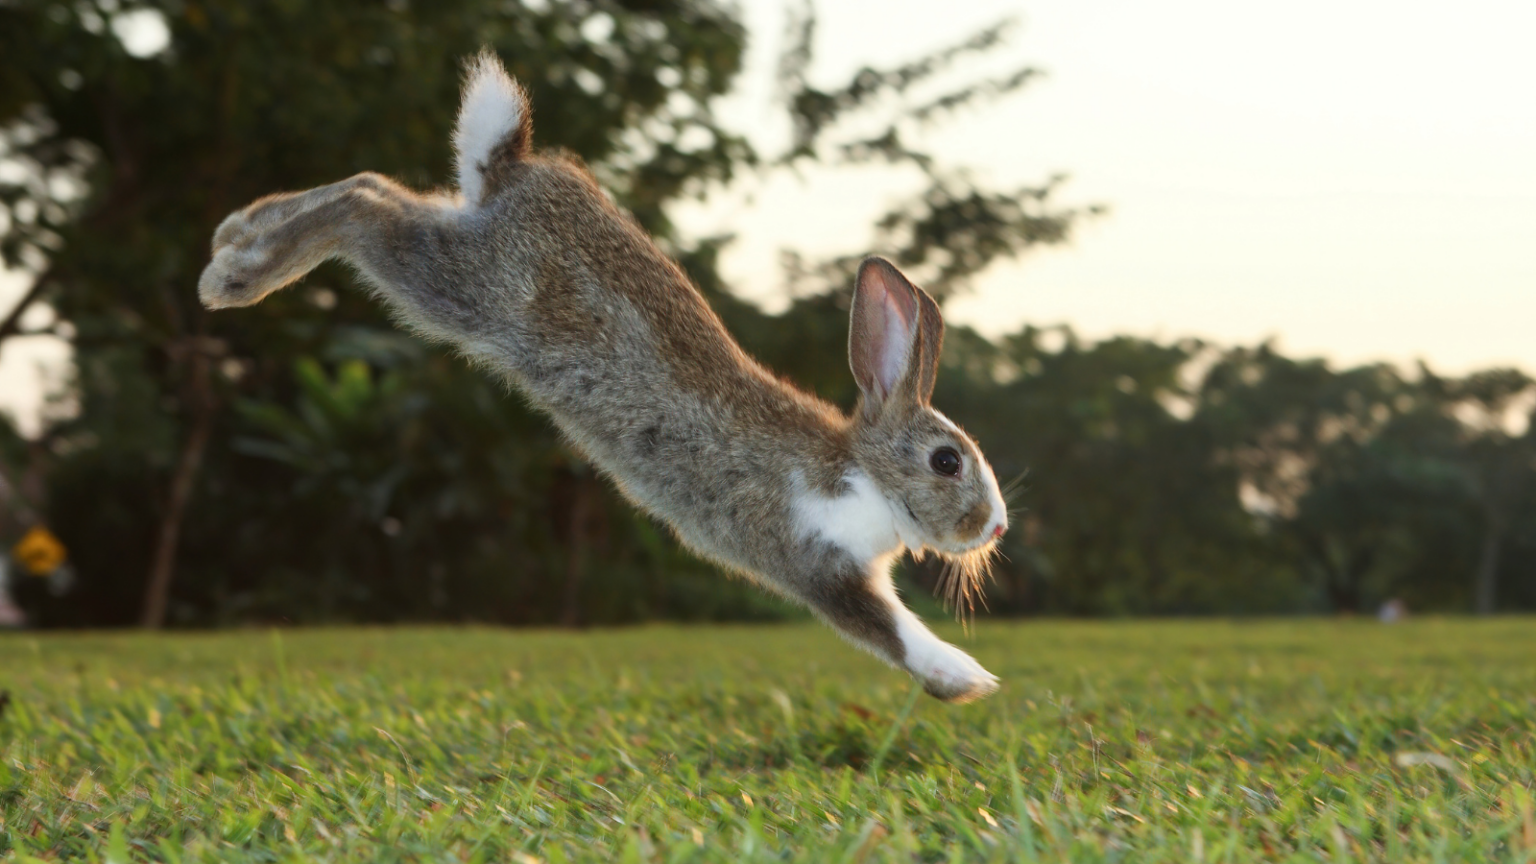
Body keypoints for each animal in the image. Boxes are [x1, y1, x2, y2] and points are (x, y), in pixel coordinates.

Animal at [198, 53, 1010, 702]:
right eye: (947, 461)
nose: (996, 526)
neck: (862, 470)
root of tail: (516, 167)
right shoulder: (816, 561)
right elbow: (890, 629)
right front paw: (967, 679)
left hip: (455, 246)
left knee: (377, 187)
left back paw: (235, 233)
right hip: (461, 287)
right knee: (363, 205)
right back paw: (233, 276)